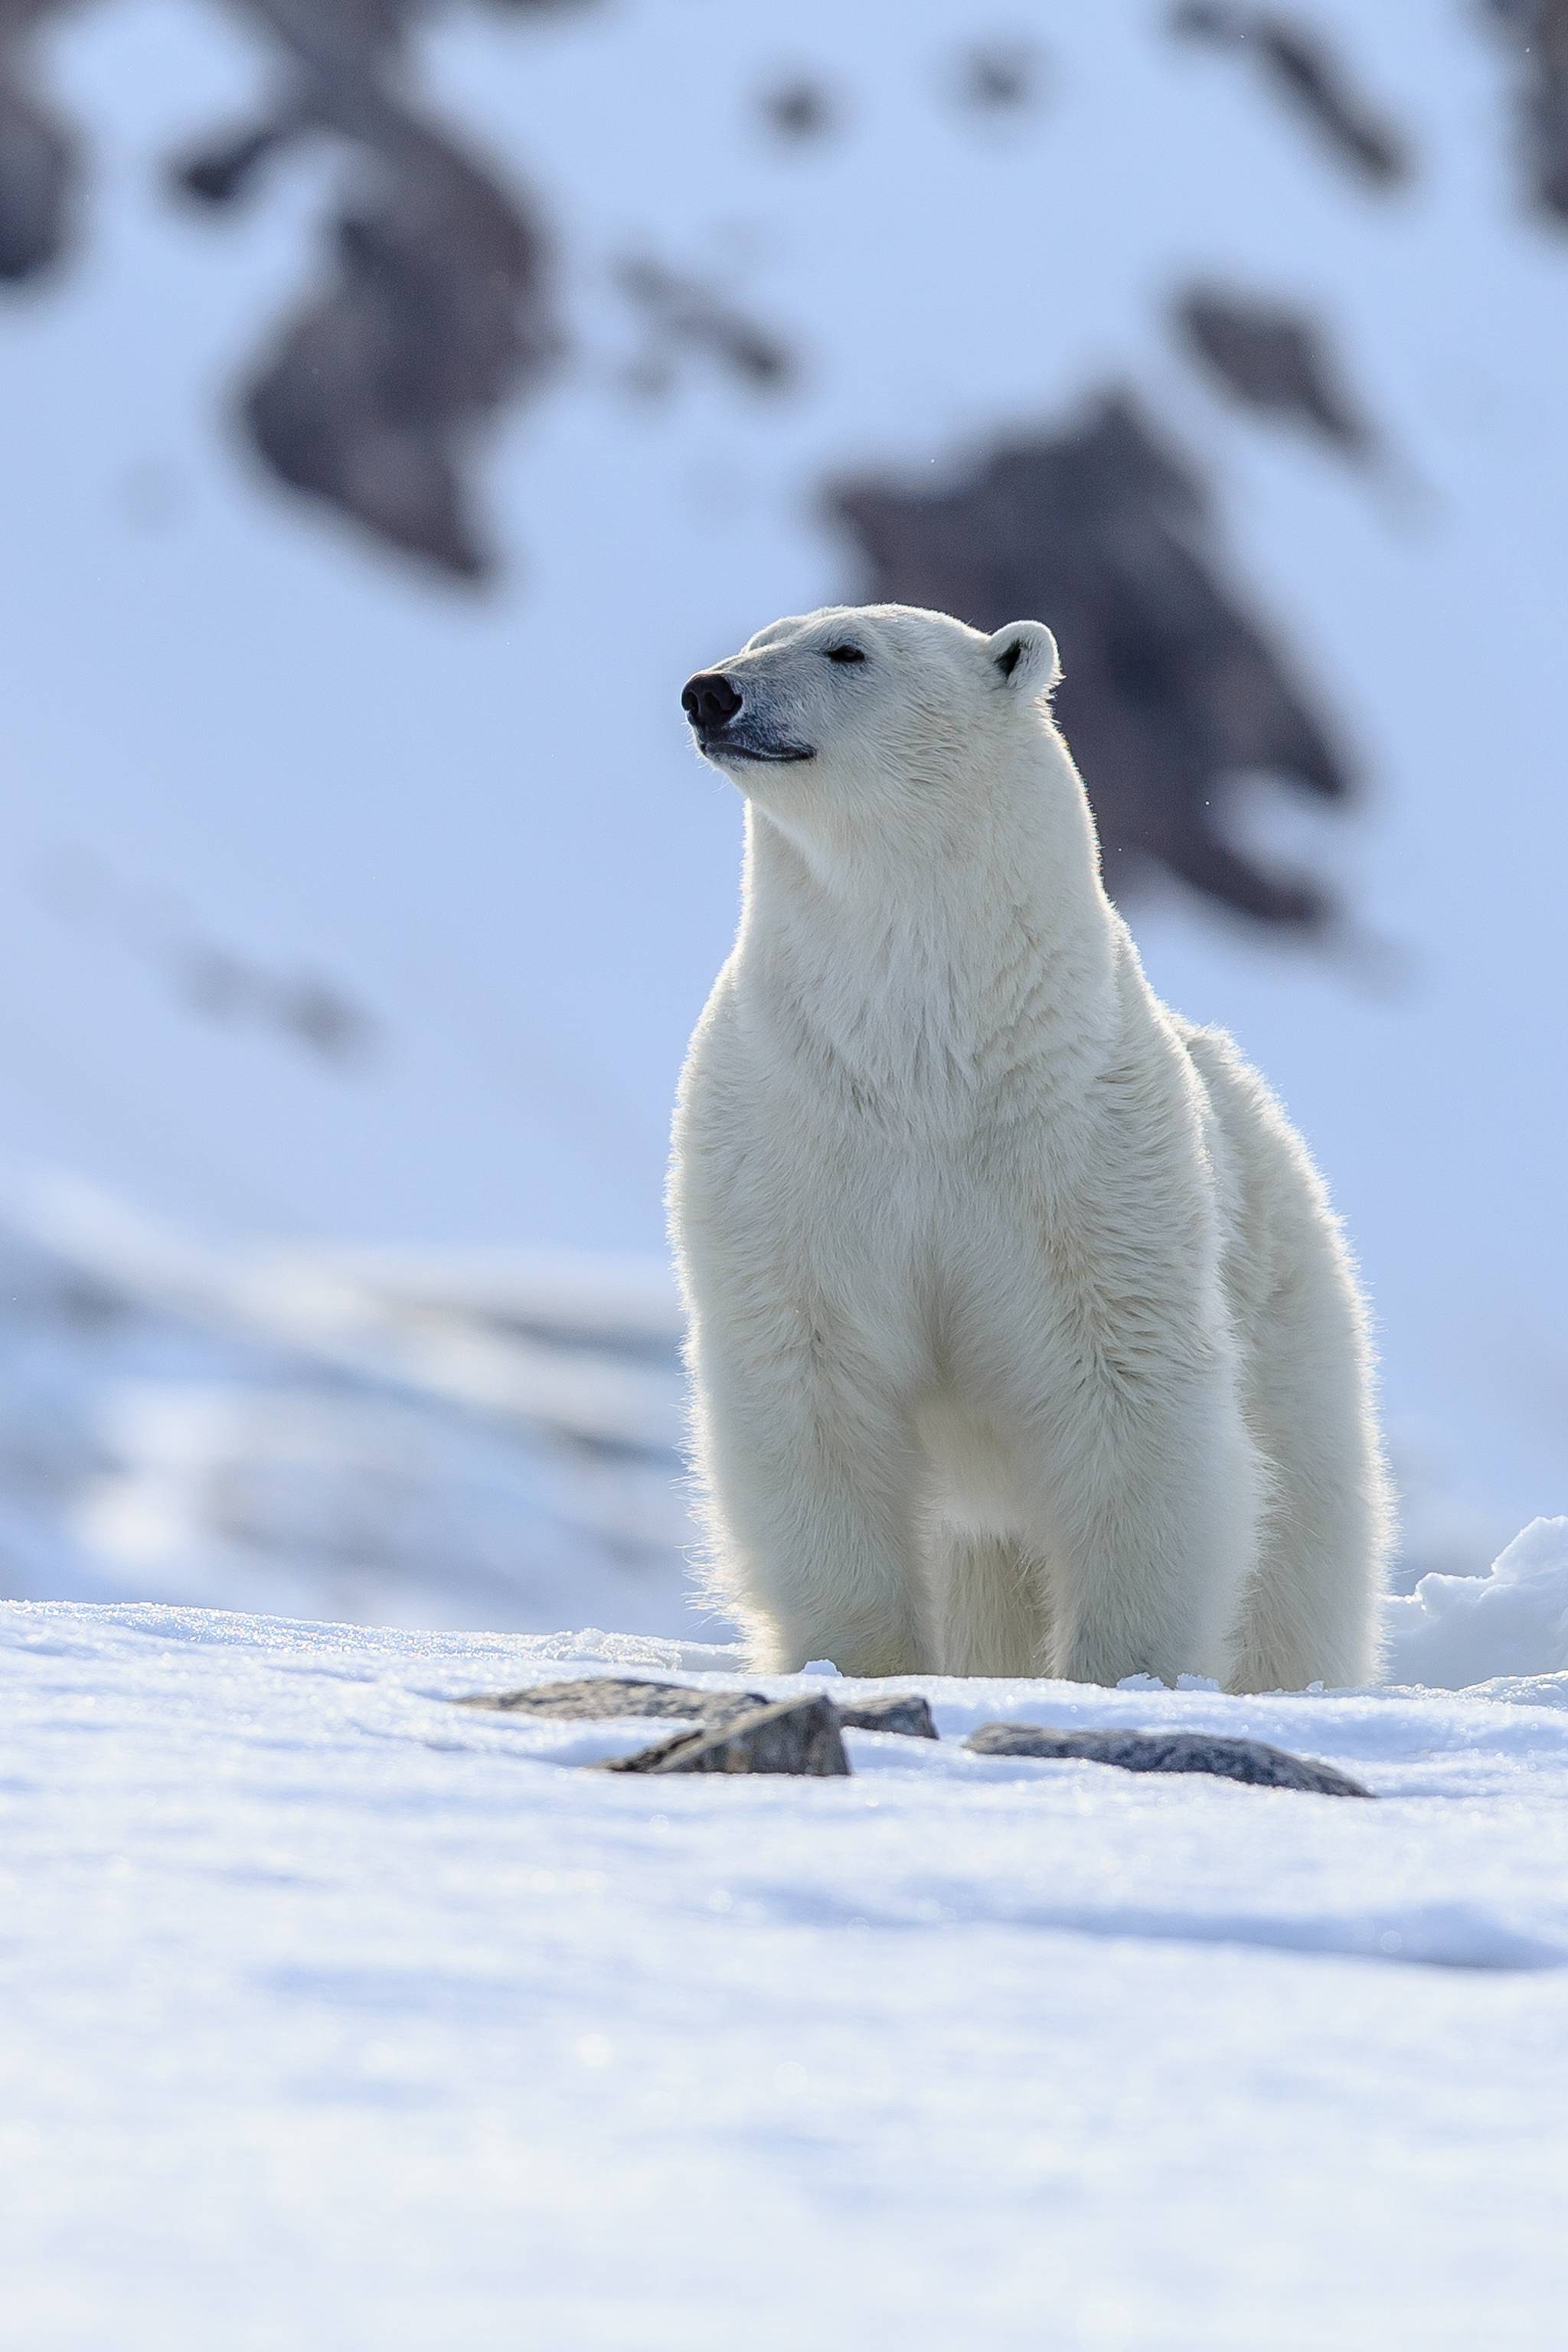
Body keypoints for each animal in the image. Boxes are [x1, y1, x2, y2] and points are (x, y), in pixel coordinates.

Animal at [668, 597, 1391, 1684]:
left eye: (847, 650)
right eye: (760, 638)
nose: (711, 692)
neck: (928, 1057)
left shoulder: (1082, 1153)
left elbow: (1127, 1389)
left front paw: (1121, 1671)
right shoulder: (792, 1133)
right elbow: (810, 1385)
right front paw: (857, 1663)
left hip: (1286, 1297)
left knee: (1302, 1538)